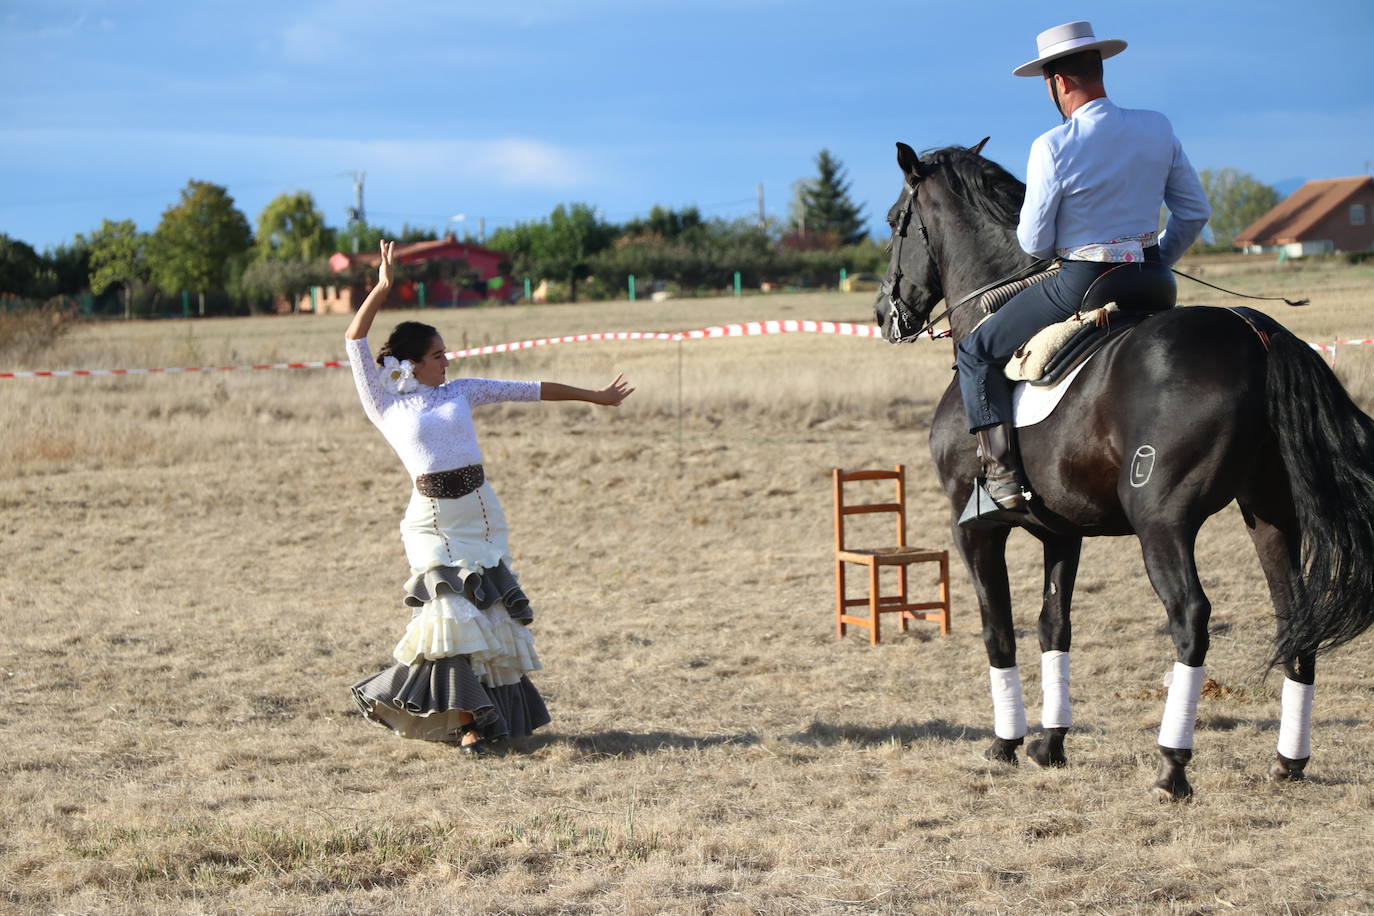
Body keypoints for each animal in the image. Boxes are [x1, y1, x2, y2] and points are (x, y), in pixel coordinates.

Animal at [873, 138, 1374, 802]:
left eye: (891, 223)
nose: (883, 313)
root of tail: (1255, 332)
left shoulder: (974, 528)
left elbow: (997, 629)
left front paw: (1007, 744)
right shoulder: (1062, 532)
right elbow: (1052, 626)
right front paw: (1051, 744)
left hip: (1161, 522)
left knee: (1190, 617)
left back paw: (1171, 766)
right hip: (1269, 513)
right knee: (1295, 616)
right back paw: (1288, 761)